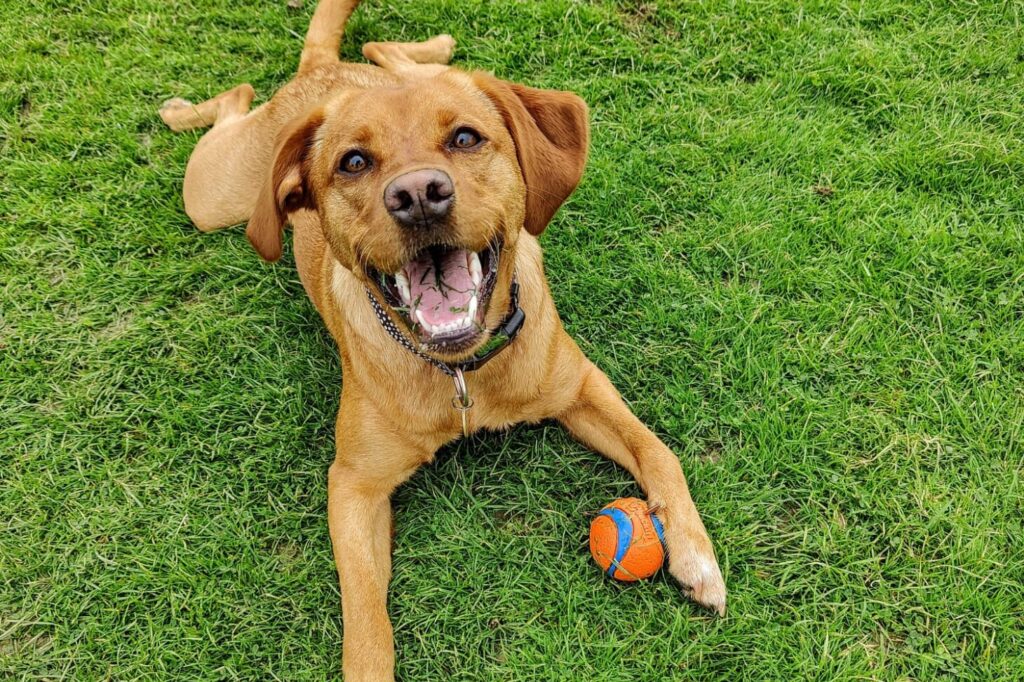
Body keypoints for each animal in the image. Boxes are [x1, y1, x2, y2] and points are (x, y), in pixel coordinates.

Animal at [159, 0, 724, 675]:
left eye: (465, 139)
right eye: (353, 162)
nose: (418, 196)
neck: (461, 374)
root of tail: (318, 75)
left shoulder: (582, 388)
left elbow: (659, 451)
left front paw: (695, 552)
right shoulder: (353, 486)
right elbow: (365, 616)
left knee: (378, 52)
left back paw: (428, 47)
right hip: (212, 195)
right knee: (237, 98)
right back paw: (183, 109)